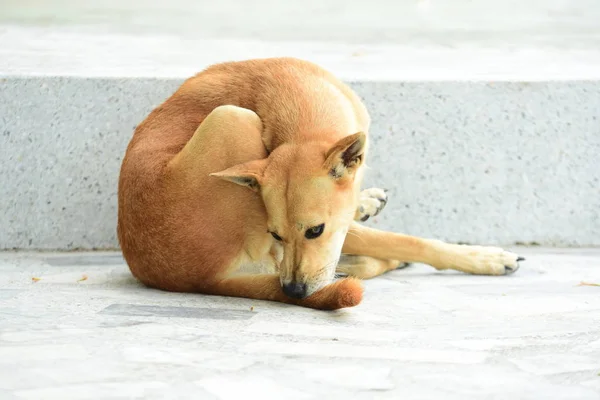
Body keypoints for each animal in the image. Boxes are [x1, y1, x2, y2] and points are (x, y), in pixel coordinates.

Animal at [116, 57, 520, 310]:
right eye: (276, 233)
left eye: (314, 231)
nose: (293, 292)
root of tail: (195, 281)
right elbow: (406, 241)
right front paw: (484, 258)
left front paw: (365, 201)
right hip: (232, 118)